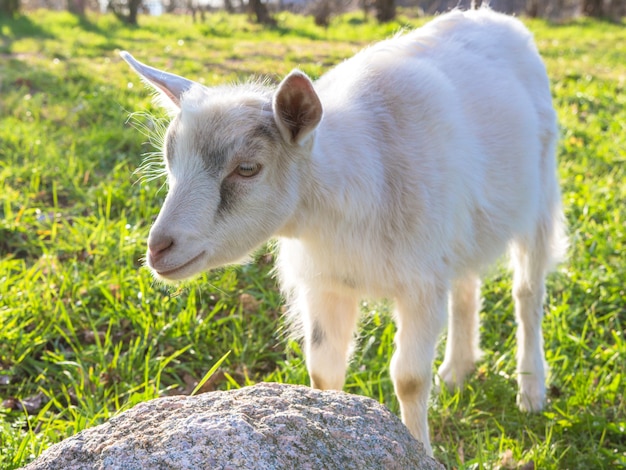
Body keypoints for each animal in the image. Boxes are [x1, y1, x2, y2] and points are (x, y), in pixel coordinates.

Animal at [120, 7, 564, 456]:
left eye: (247, 168)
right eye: (169, 158)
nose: (158, 249)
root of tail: (489, 14)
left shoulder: (420, 285)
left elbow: (409, 379)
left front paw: (420, 449)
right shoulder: (327, 284)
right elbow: (324, 372)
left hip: (540, 197)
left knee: (528, 293)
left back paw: (531, 390)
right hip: (461, 229)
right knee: (466, 286)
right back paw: (457, 370)